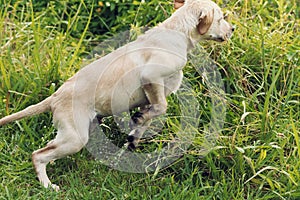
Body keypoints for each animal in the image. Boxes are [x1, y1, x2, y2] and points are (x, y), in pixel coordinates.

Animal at [0, 0, 234, 191]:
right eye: (221, 18)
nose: (233, 28)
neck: (178, 32)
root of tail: (55, 96)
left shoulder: (152, 94)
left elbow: (148, 118)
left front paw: (134, 136)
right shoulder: (151, 76)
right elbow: (161, 108)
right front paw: (138, 123)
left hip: (69, 134)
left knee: (50, 147)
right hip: (76, 138)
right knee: (38, 155)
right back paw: (48, 185)